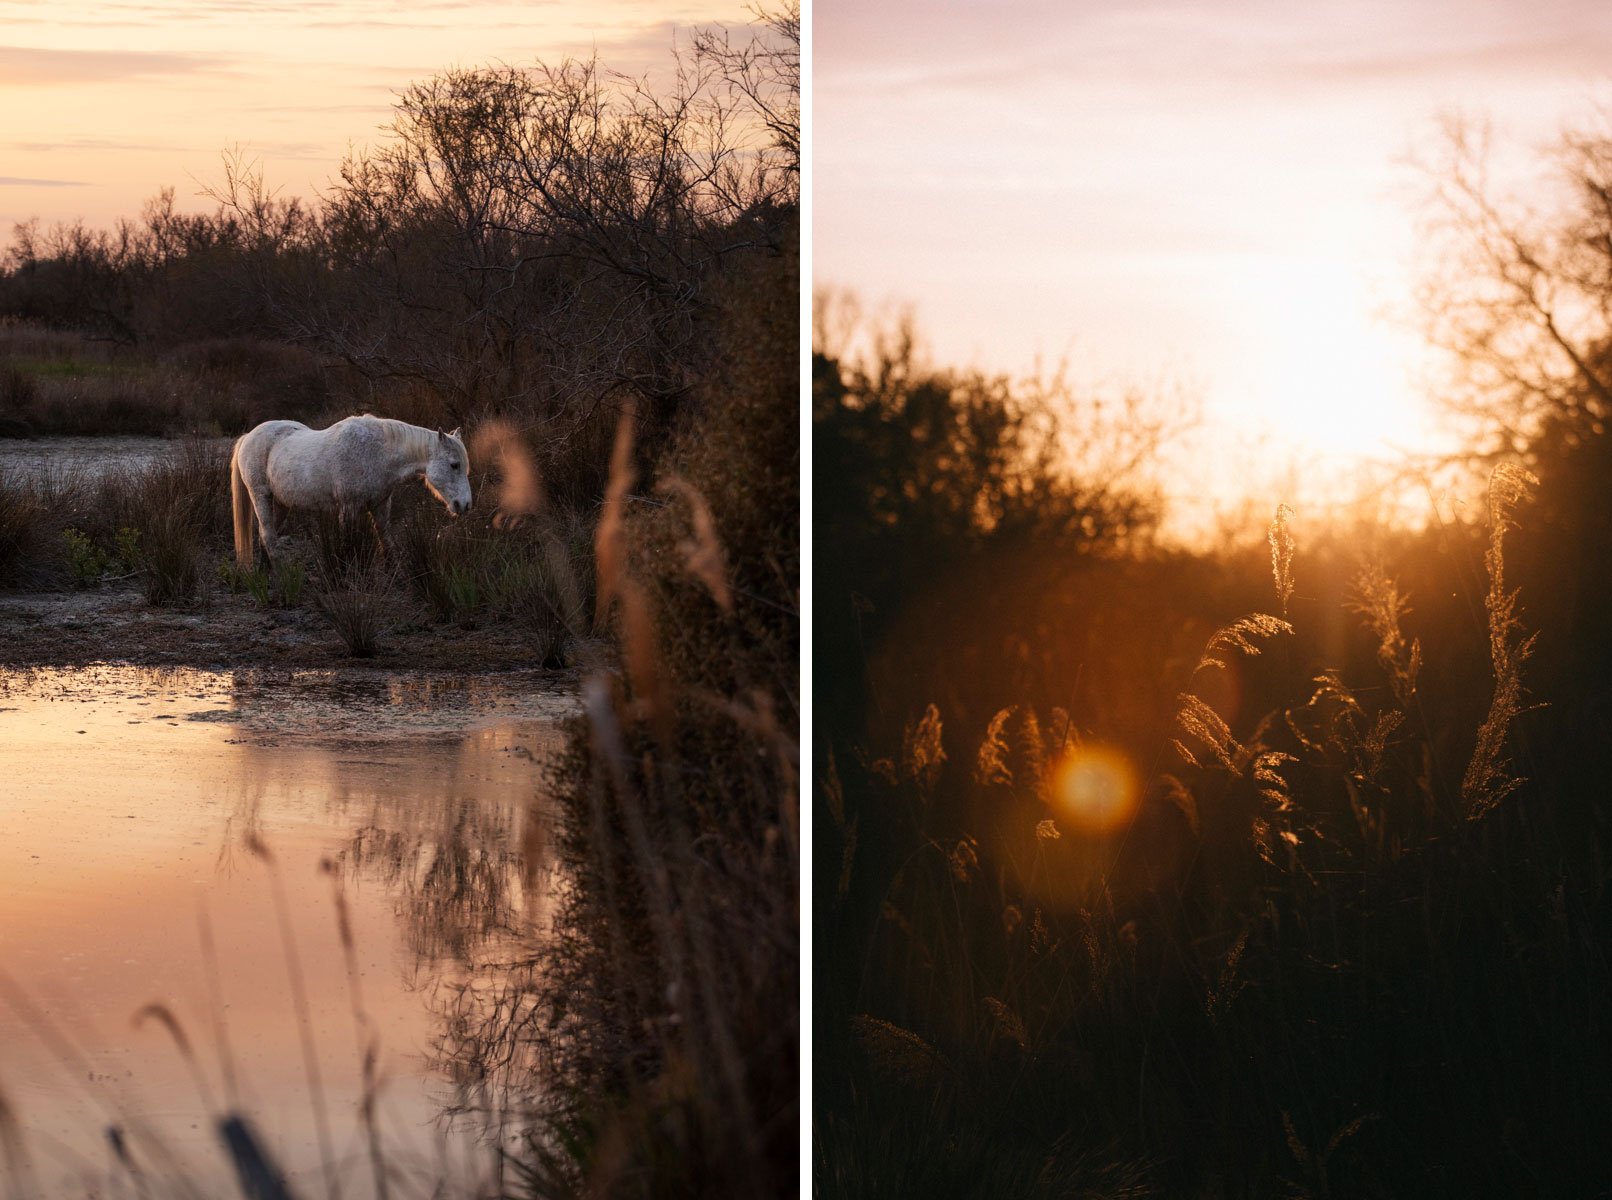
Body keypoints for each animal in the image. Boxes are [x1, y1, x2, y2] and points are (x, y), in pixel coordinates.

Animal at [230, 414, 471, 568]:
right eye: (454, 465)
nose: (465, 505)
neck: (378, 451)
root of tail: (248, 436)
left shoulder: (381, 505)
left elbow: (386, 540)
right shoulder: (349, 508)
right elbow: (348, 544)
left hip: (280, 503)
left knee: (265, 533)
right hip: (260, 495)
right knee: (267, 534)